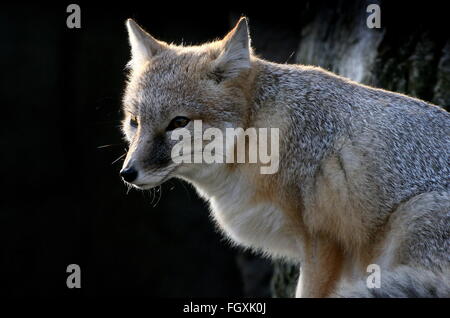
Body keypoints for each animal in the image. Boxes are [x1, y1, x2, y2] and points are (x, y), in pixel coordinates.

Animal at [119, 18, 450, 298]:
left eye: (178, 122)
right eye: (134, 122)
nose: (127, 173)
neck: (258, 133)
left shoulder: (323, 240)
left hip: (413, 217)